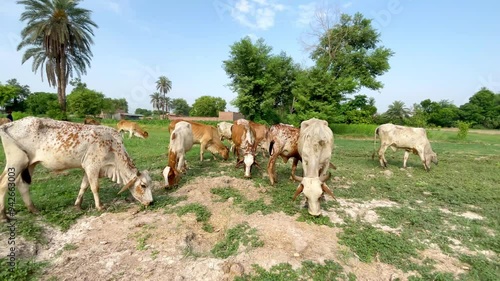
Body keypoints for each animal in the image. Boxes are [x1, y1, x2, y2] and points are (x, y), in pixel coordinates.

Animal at [0, 116, 152, 221]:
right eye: (143, 185)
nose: (151, 202)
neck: (113, 148)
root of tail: (8, 124)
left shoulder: (87, 169)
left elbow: (83, 186)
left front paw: (78, 205)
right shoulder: (92, 167)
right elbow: (95, 187)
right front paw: (100, 206)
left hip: (30, 163)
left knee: (22, 184)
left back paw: (33, 209)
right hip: (17, 161)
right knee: (3, 184)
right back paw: (4, 216)